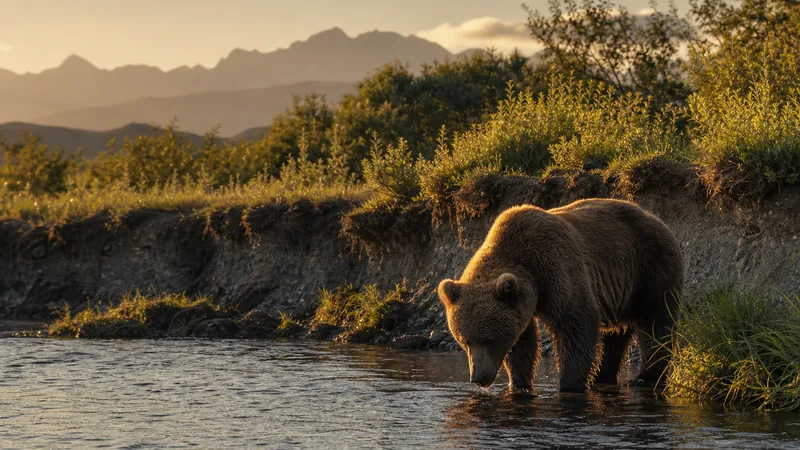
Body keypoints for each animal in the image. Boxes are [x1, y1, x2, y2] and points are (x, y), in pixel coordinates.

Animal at [438, 198, 684, 392]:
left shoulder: (556, 267)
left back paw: (644, 377)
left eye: (488, 340)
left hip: (650, 268)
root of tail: (658, 219)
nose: (478, 378)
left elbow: (576, 324)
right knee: (615, 336)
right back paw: (604, 376)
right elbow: (523, 341)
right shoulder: (523, 301)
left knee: (655, 323)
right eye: (465, 341)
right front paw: (519, 382)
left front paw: (569, 383)